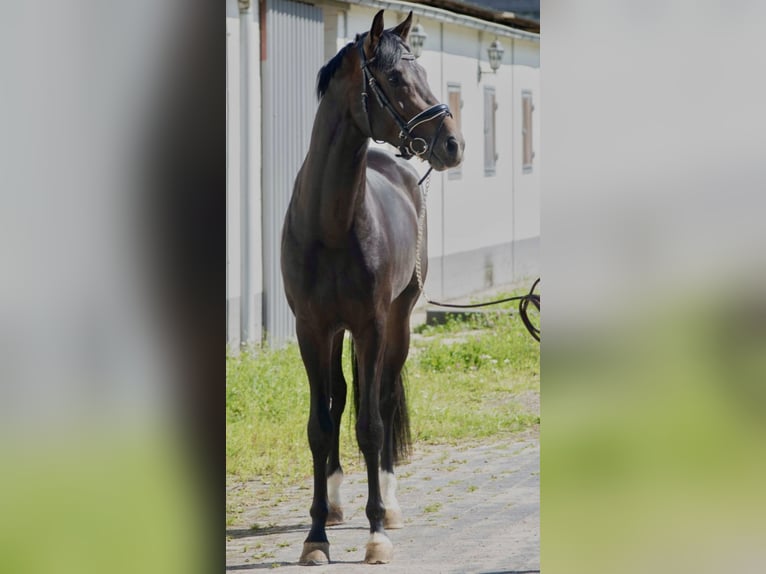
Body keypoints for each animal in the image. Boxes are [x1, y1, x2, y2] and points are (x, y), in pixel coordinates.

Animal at [280, 9, 464, 568]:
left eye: (423, 71)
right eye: (396, 78)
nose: (453, 144)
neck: (331, 224)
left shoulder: (374, 325)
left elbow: (372, 425)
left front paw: (377, 530)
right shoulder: (312, 329)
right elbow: (320, 425)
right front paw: (316, 534)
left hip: (398, 325)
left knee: (379, 399)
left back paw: (389, 502)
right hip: (339, 333)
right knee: (342, 399)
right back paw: (339, 502)